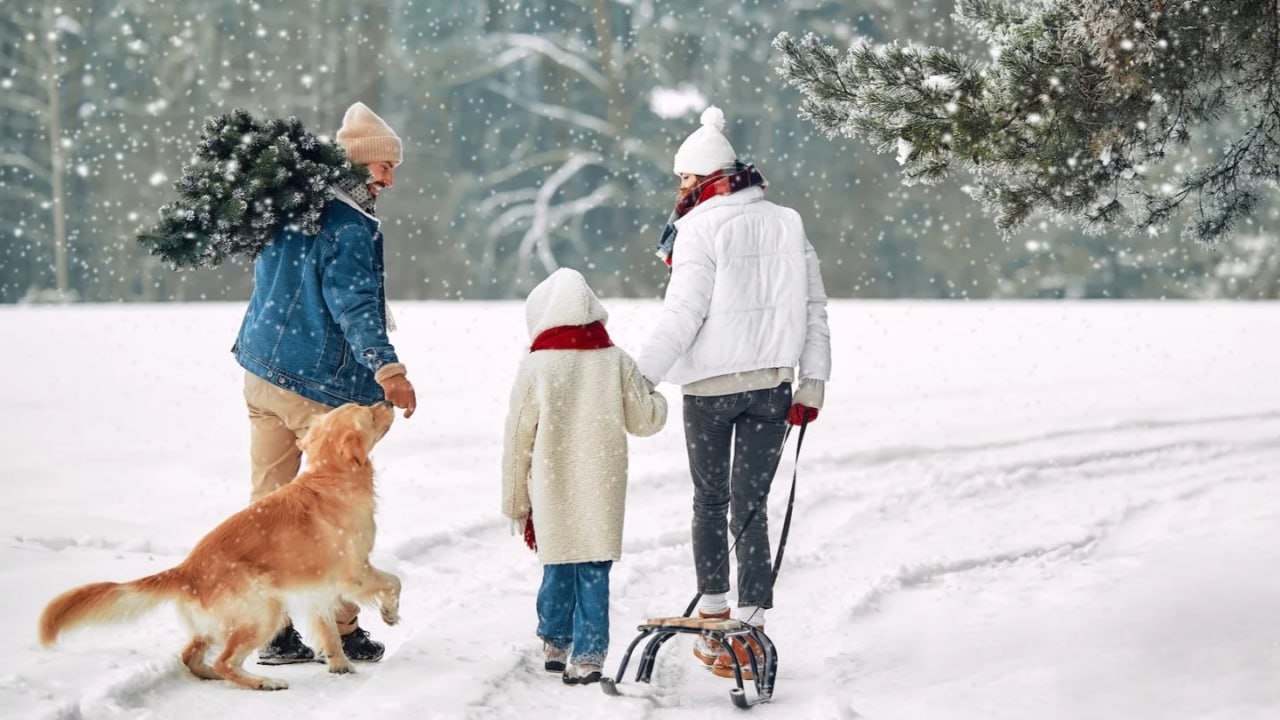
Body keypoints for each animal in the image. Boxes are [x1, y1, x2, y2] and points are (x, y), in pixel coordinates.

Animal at [37, 399, 399, 686]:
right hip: (264, 610)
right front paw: (390, 614)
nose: (386, 401)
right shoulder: (354, 572)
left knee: (193, 656)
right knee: (226, 661)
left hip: (217, 624)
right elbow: (394, 581)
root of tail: (185, 569)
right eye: (368, 414)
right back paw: (264, 682)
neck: (331, 477)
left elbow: (330, 633)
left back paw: (212, 674)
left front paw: (340, 665)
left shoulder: (319, 587)